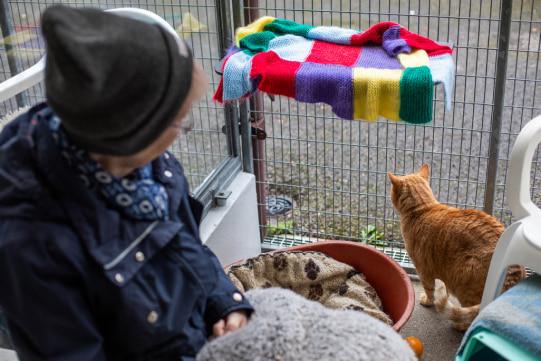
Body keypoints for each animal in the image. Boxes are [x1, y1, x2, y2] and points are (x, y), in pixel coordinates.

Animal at [388, 165, 524, 330]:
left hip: (465, 281)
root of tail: (513, 272)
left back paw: (460, 326)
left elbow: (429, 289)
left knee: (472, 316)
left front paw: (427, 301)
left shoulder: (423, 269)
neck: (422, 208)